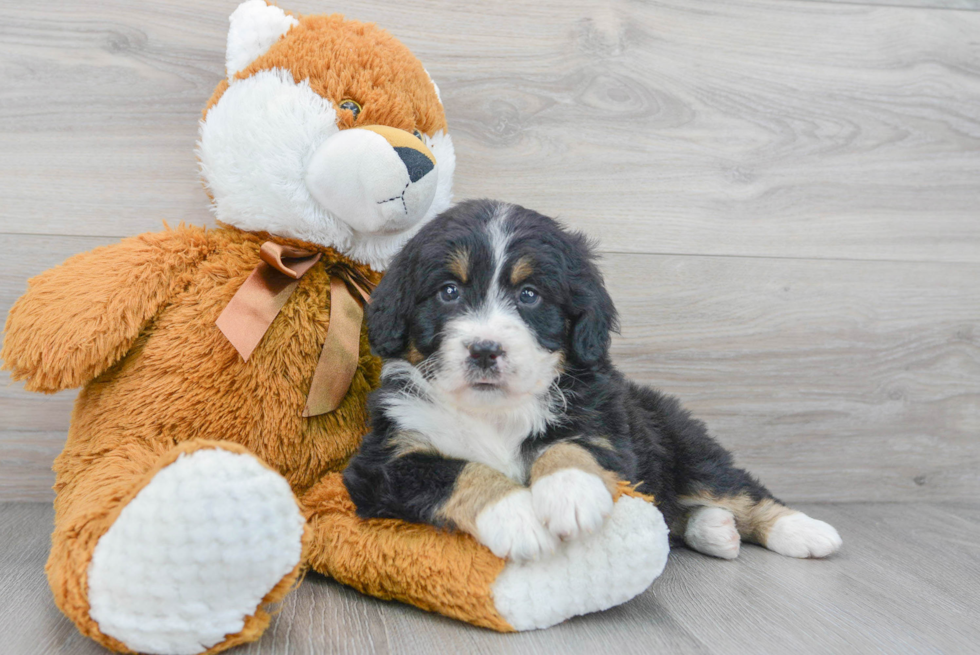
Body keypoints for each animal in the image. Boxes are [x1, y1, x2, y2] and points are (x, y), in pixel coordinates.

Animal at [344, 200, 844, 564]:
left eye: (530, 295)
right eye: (448, 291)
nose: (485, 350)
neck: (494, 413)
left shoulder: (606, 425)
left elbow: (570, 444)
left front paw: (571, 493)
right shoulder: (384, 459)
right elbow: (457, 470)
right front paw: (517, 516)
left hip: (686, 446)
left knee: (738, 489)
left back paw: (803, 531)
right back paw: (714, 530)